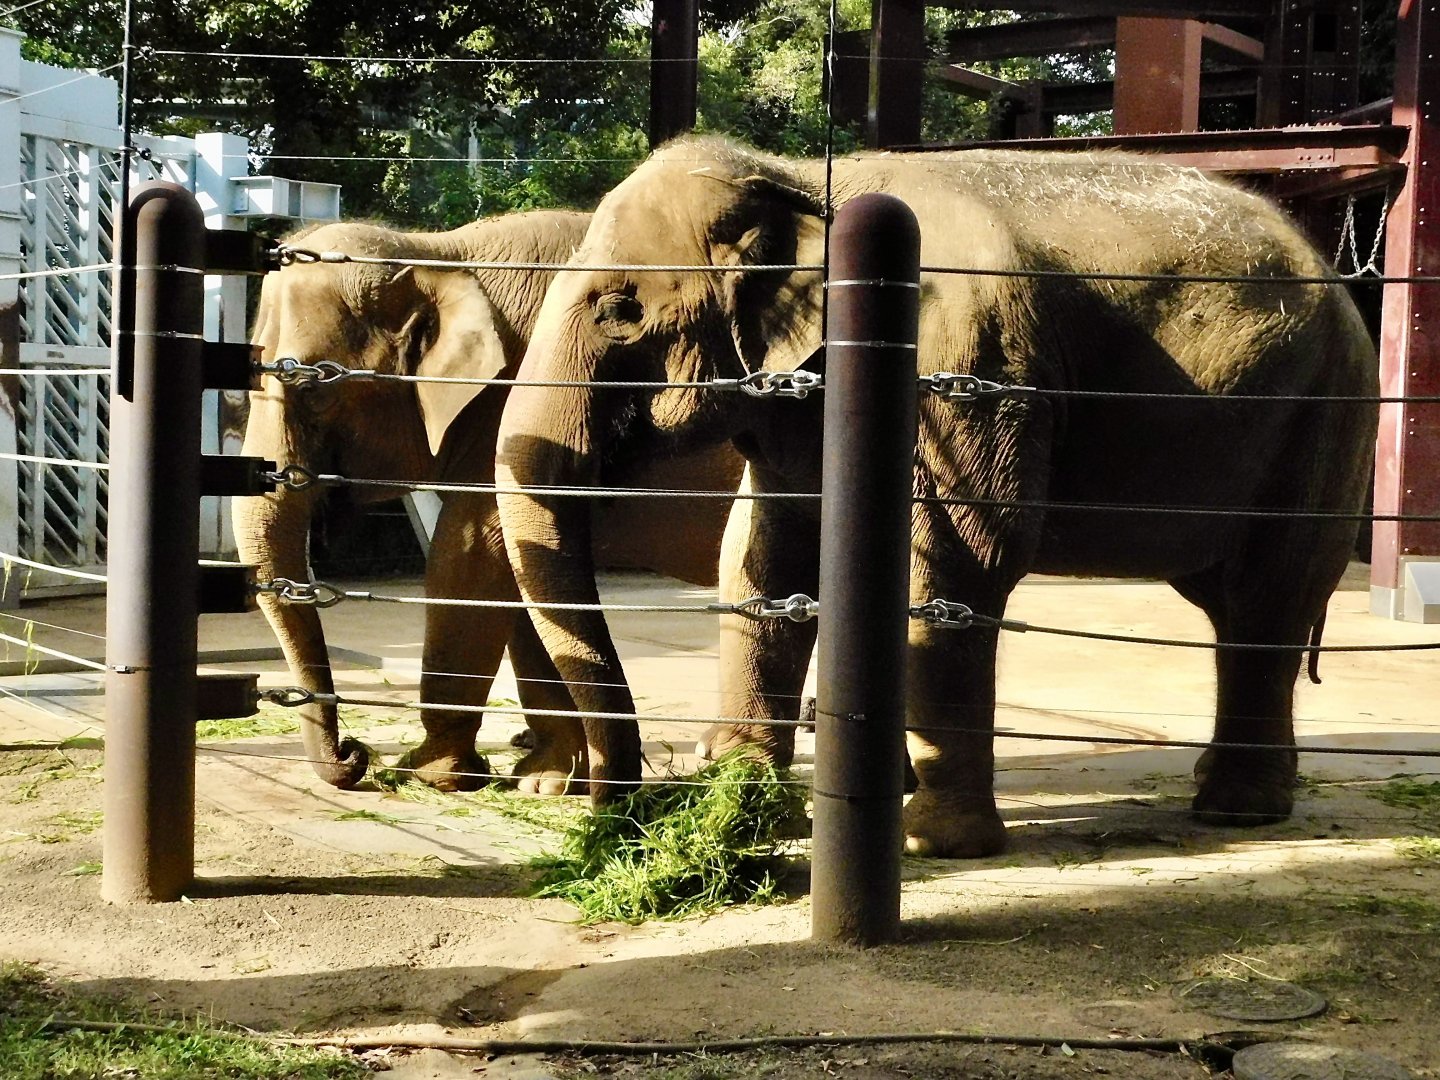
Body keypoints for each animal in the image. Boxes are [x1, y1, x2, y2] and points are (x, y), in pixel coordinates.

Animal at [235, 210, 742, 794]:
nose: (355, 753)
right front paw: (548, 779)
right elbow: (520, 577)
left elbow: (471, 558)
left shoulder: (510, 408)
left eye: (316, 389)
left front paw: (433, 773)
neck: (438, 253)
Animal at [493, 136, 1378, 858]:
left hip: (1326, 423)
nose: (613, 814)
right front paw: (744, 800)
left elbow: (961, 561)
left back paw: (1236, 811)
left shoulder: (965, 365)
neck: (804, 178)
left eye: (618, 311)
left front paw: (937, 845)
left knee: (1266, 596)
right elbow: (767, 557)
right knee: (1234, 607)